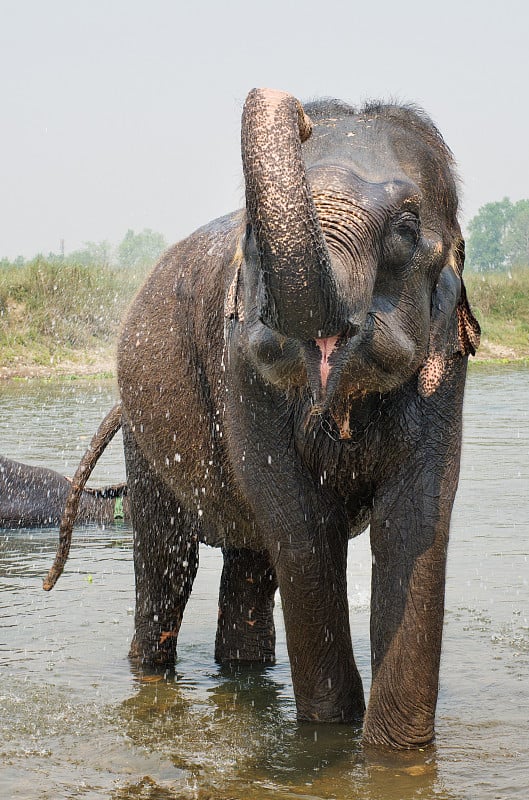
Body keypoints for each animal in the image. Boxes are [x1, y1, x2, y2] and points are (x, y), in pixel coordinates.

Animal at [43, 89, 478, 752]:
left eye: (407, 229)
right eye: (253, 234)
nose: (298, 112)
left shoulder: (444, 366)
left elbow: (415, 518)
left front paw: (394, 756)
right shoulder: (239, 364)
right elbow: (299, 523)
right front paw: (330, 735)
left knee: (250, 563)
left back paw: (245, 672)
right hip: (146, 431)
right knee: (168, 559)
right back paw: (154, 674)